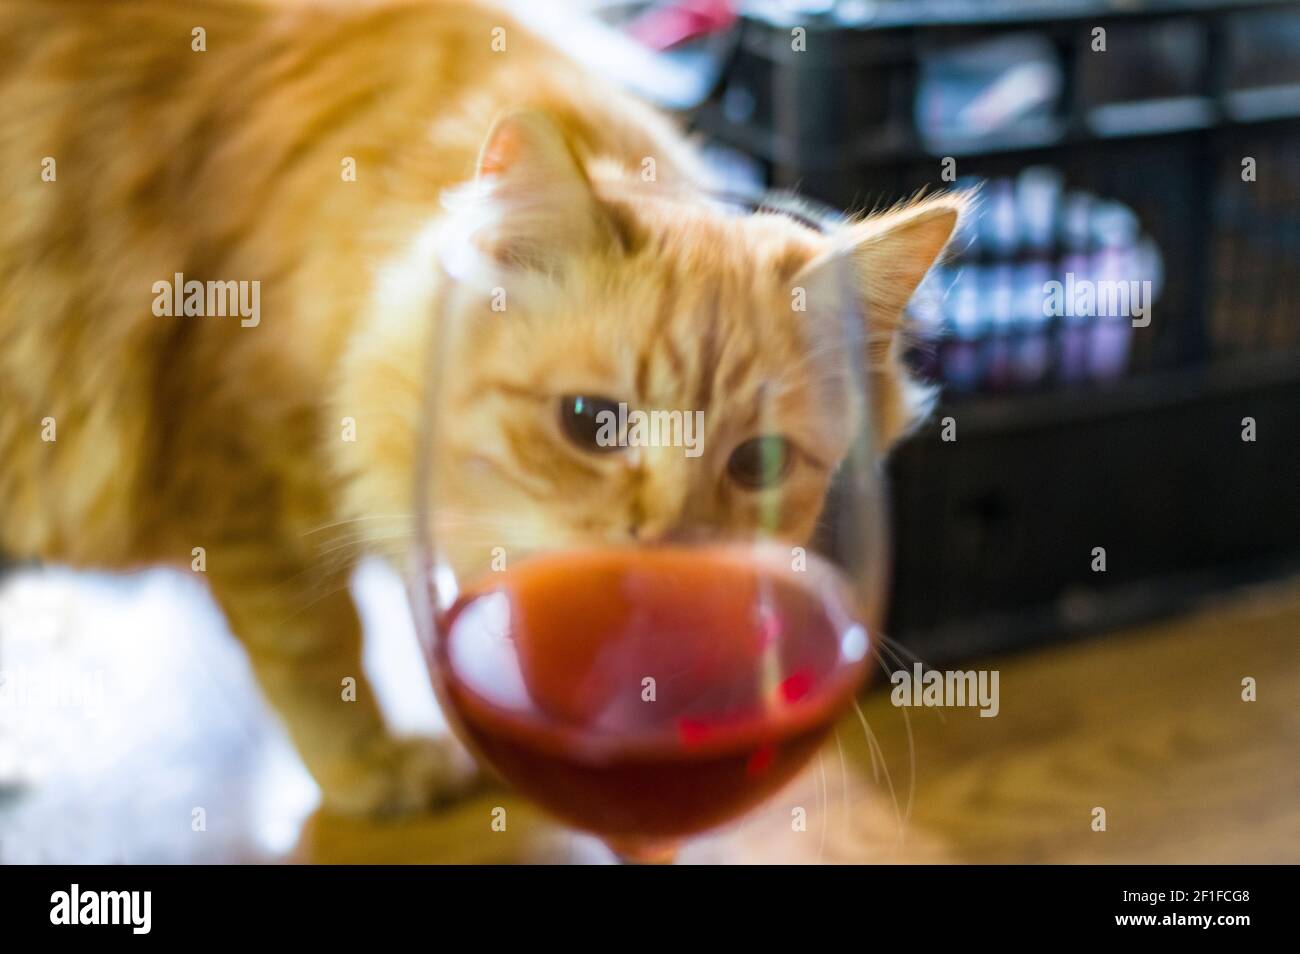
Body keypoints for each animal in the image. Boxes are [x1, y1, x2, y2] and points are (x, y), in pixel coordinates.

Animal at [0, 1, 956, 816]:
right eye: (590, 423)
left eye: (759, 464)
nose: (665, 548)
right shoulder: (235, 471)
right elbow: (318, 650)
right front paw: (372, 767)